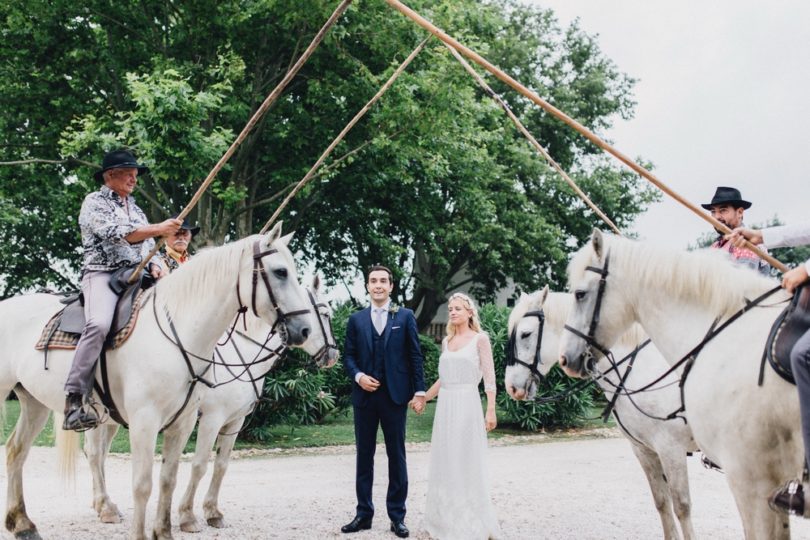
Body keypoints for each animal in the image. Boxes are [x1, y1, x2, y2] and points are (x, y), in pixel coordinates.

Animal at [0, 224, 312, 540]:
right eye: (280, 272)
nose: (304, 329)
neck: (180, 333)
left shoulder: (185, 422)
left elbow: (168, 479)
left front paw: (164, 531)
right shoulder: (147, 420)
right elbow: (143, 484)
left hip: (34, 403)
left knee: (16, 451)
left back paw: (23, 524)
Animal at [504, 288, 696, 536]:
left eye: (525, 334)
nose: (510, 387)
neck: (639, 368)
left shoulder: (671, 448)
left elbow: (682, 507)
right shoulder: (645, 451)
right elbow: (662, 503)